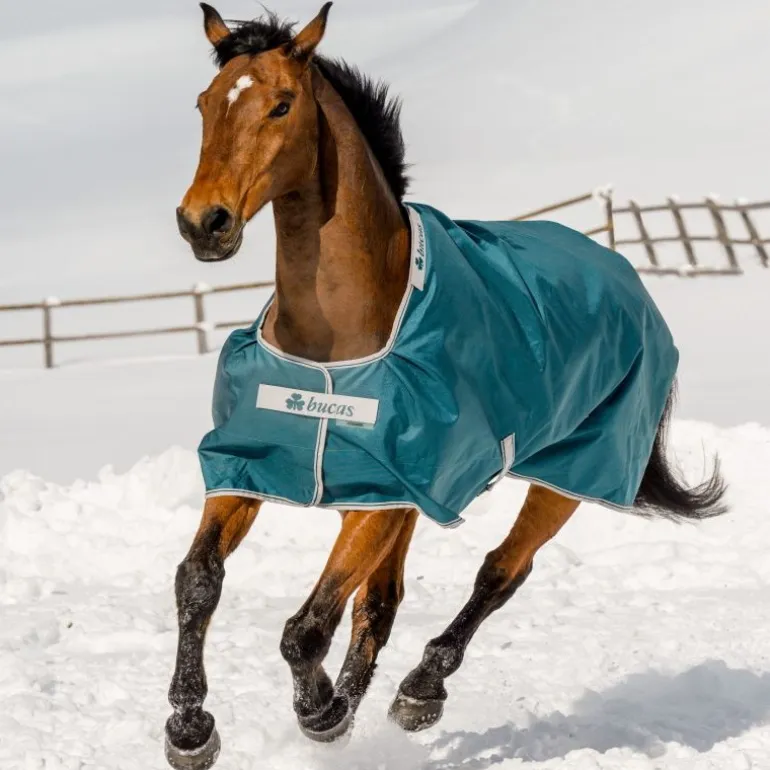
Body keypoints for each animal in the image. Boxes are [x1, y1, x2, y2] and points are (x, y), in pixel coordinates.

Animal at [165, 4, 727, 767]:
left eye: (281, 104)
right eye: (203, 104)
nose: (205, 223)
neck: (337, 345)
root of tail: (624, 274)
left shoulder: (389, 492)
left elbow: (306, 627)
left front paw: (319, 713)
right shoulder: (259, 471)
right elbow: (199, 582)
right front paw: (190, 727)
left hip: (570, 475)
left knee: (500, 572)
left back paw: (418, 692)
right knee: (384, 600)